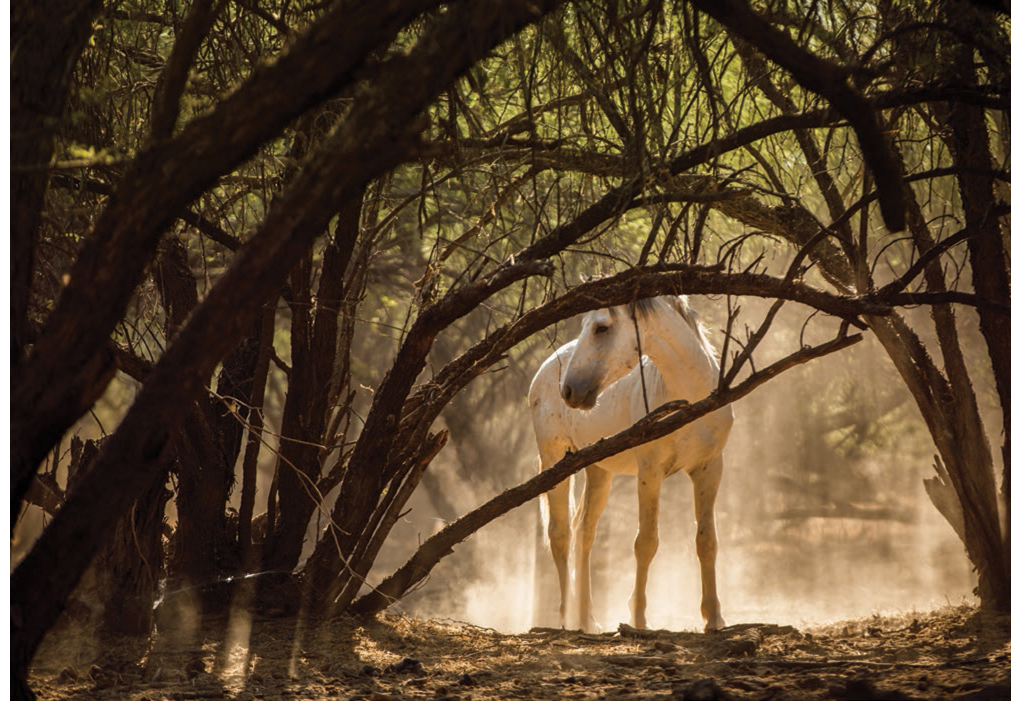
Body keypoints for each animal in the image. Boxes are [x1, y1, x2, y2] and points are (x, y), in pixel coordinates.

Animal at [526, 293, 735, 632]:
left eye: (601, 327)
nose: (569, 390)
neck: (689, 398)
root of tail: (547, 368)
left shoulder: (710, 469)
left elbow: (707, 542)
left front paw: (714, 619)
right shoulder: (650, 472)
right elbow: (646, 542)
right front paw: (638, 619)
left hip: (599, 470)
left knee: (584, 531)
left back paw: (588, 619)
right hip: (554, 459)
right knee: (560, 535)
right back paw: (568, 618)